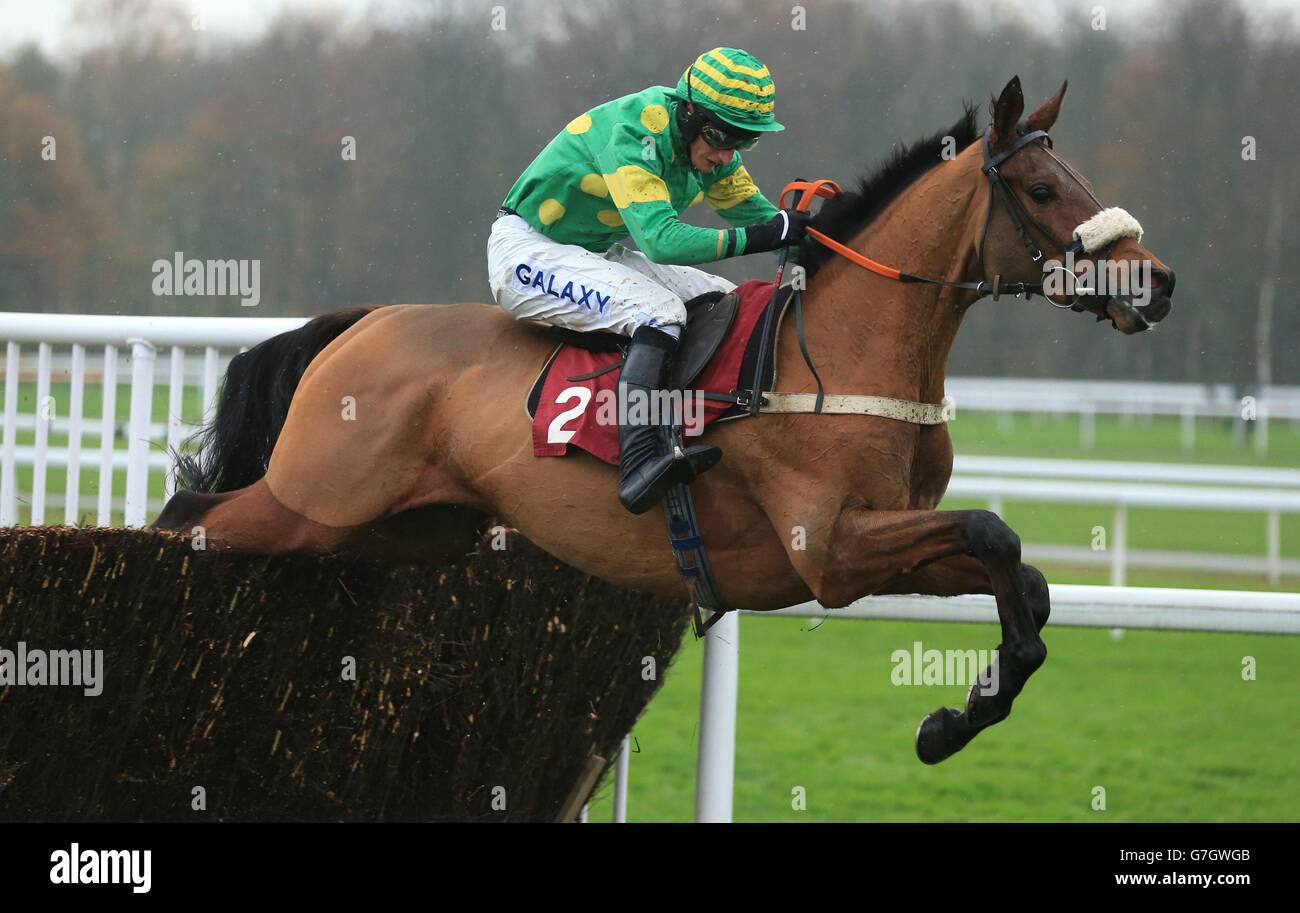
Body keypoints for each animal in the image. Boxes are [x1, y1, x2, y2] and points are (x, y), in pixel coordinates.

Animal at [154, 78, 1180, 764]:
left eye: (1080, 178)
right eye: (1044, 191)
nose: (1157, 281)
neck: (846, 351)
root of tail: (362, 323)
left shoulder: (883, 544)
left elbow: (1024, 583)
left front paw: (953, 717)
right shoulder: (828, 549)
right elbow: (994, 531)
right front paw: (956, 714)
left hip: (402, 529)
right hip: (310, 499)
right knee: (187, 518)